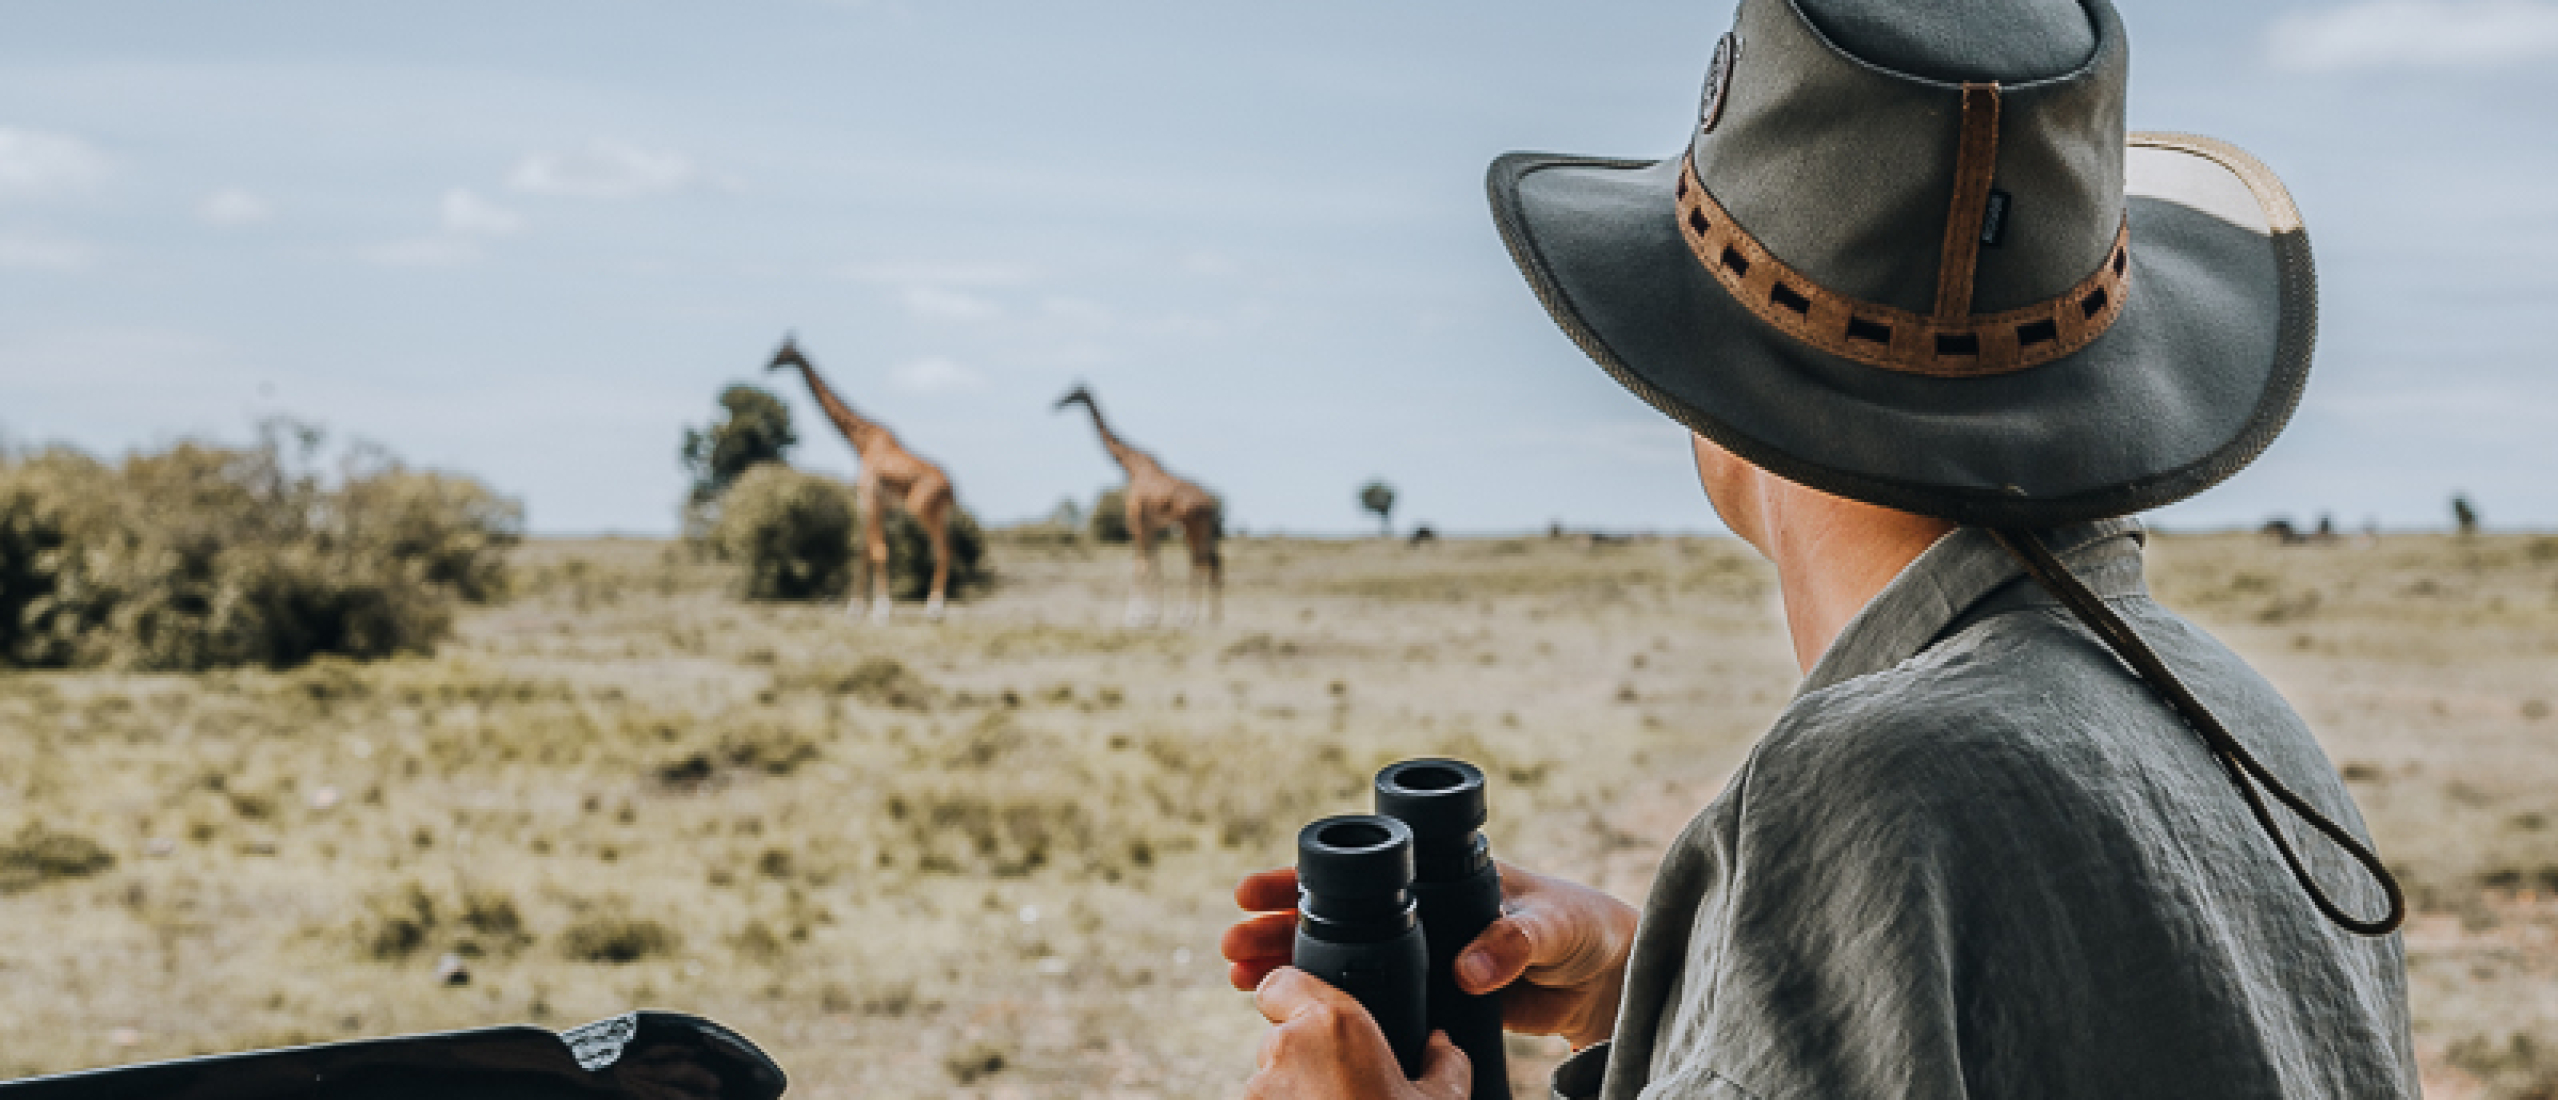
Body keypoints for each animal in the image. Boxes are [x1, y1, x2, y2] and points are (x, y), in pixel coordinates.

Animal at [767, 335, 961, 624]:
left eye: (783, 351)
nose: (767, 365)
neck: (861, 442)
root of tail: (952, 489)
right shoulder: (871, 507)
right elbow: (863, 552)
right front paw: (855, 610)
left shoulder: (870, 500)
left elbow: (878, 551)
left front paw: (881, 612)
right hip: (940, 514)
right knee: (945, 550)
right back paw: (935, 608)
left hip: (922, 510)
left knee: (942, 551)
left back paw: (933, 610)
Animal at [1053, 383, 1222, 626]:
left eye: (1073, 391)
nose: (1055, 404)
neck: (1131, 467)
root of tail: (1212, 505)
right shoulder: (1150, 526)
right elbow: (1153, 563)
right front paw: (1152, 615)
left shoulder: (1135, 521)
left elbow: (1141, 565)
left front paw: (1135, 616)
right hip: (1199, 529)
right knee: (1209, 561)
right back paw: (1211, 617)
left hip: (1193, 526)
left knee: (1201, 561)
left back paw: (1190, 616)